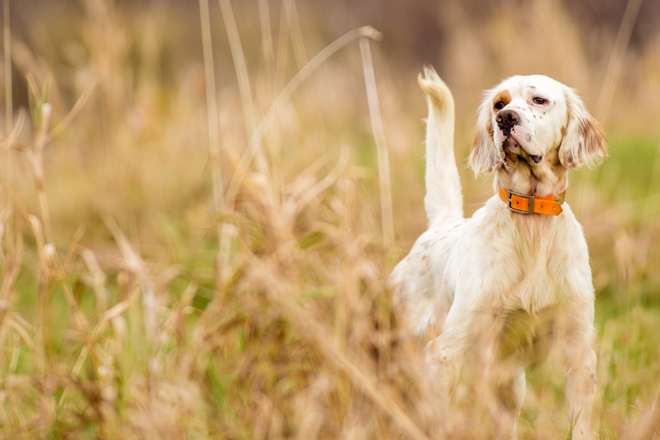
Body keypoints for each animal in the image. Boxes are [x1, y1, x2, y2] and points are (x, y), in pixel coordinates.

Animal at [392, 68, 608, 436]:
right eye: (499, 103)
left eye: (539, 100)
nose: (506, 118)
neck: (532, 223)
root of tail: (441, 224)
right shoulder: (445, 354)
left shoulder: (578, 350)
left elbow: (579, 424)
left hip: (509, 385)